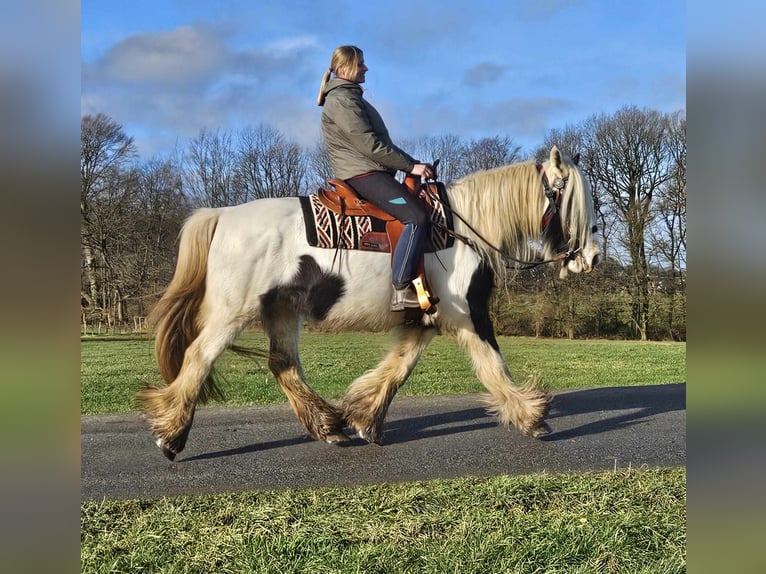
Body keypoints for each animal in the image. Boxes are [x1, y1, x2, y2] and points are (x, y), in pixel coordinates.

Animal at [140, 146, 608, 462]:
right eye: (570, 200)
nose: (593, 257)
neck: (462, 229)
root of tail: (221, 215)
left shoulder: (425, 320)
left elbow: (398, 368)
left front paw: (365, 418)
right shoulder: (468, 315)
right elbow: (493, 365)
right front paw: (532, 416)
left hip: (282, 309)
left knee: (284, 364)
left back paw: (329, 427)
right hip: (232, 312)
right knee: (199, 358)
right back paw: (171, 435)